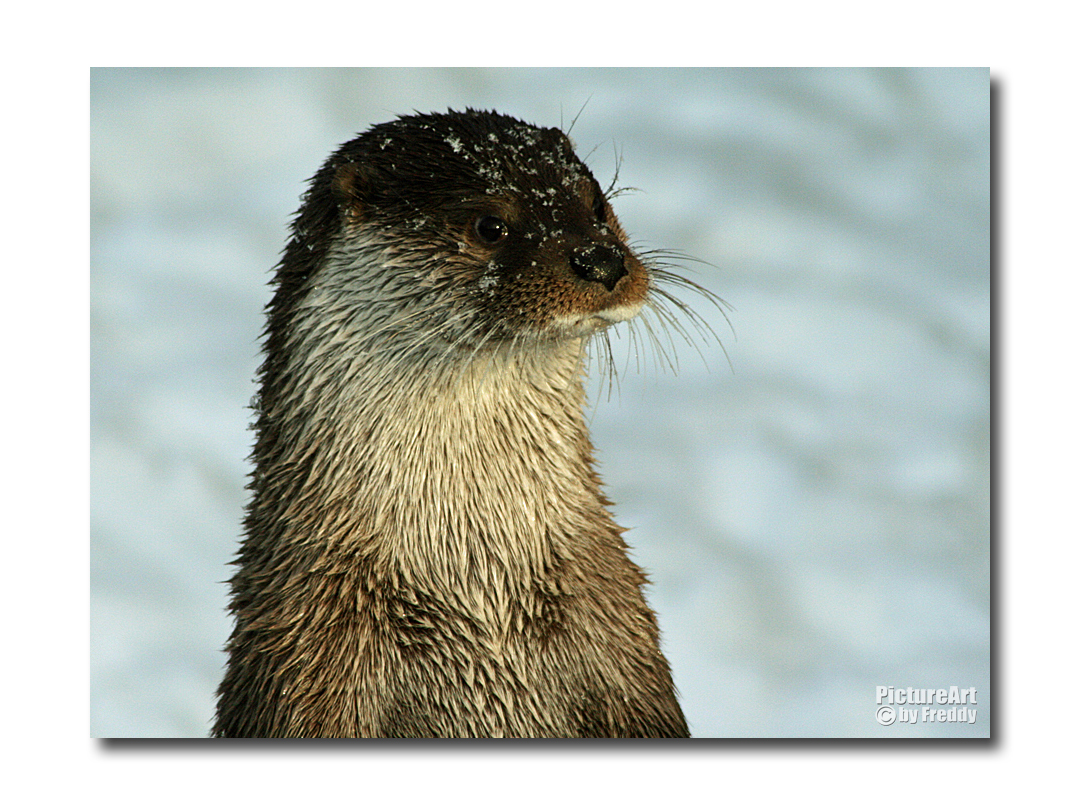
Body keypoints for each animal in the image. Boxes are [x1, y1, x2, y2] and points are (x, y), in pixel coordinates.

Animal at [211, 109, 704, 739]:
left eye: (596, 203)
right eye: (490, 225)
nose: (603, 259)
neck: (476, 589)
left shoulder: (624, 644)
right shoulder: (304, 659)